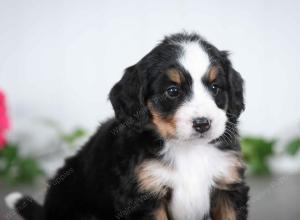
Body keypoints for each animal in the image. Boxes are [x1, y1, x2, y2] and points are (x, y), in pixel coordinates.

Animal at [5, 31, 248, 219]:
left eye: (215, 88)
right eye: (172, 91)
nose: (202, 124)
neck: (186, 150)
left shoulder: (228, 186)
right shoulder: (144, 196)